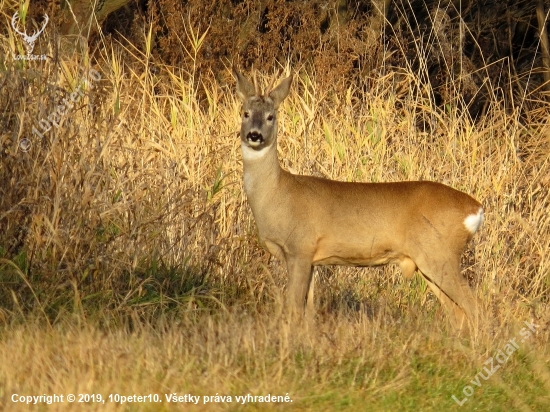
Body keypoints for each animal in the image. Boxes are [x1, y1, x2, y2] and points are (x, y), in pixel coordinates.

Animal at [235, 68, 486, 332]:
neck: (277, 194)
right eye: (246, 113)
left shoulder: (300, 248)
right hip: (430, 261)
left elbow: (292, 308)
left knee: (476, 307)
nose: (254, 135)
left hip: (439, 253)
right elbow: (307, 311)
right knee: (458, 315)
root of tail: (476, 208)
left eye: (271, 116)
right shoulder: (311, 258)